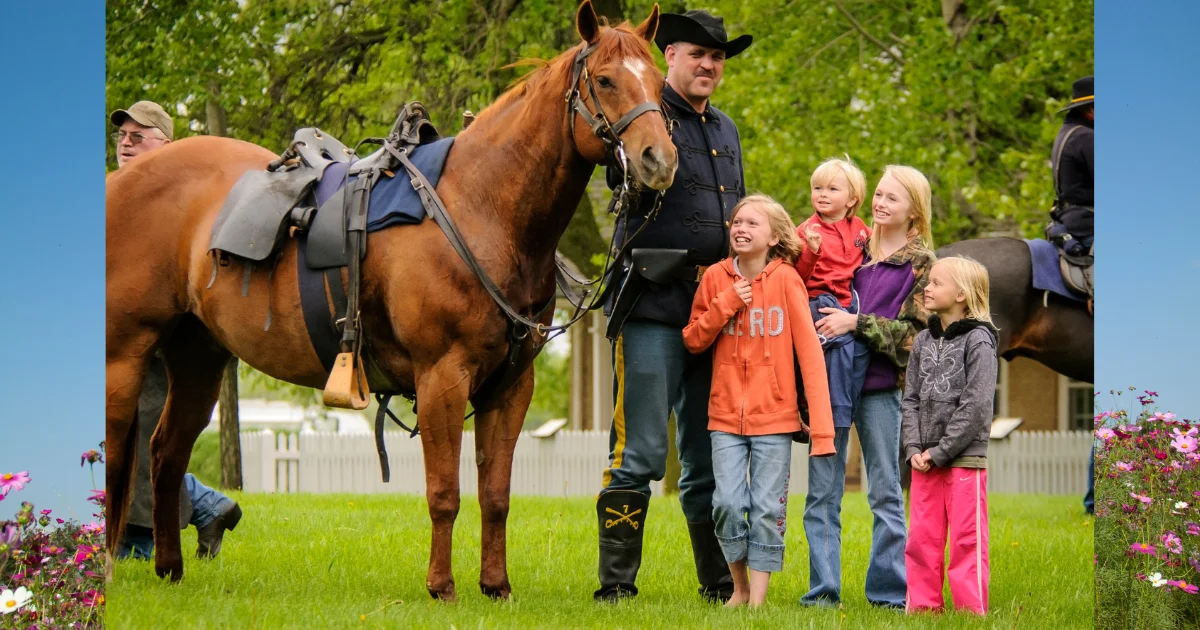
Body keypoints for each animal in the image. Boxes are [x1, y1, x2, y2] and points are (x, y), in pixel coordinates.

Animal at [105, 1, 676, 600]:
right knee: (118, 458)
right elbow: (445, 493)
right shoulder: (442, 376)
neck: (480, 207)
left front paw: (495, 585)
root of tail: (123, 181)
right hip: (123, 357)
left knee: (166, 453)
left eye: (659, 81)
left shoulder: (510, 387)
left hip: (197, 356)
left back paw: (169, 568)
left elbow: (495, 495)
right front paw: (442, 586)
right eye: (606, 80)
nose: (659, 160)